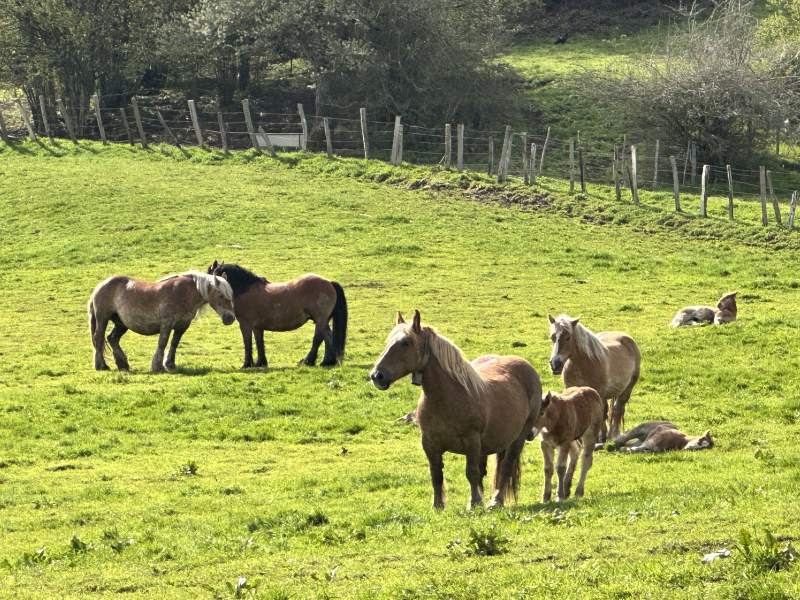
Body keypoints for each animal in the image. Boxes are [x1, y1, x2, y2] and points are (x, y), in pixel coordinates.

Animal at [88, 271, 235, 372]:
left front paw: (170, 365)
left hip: (121, 324)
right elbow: (162, 343)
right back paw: (102, 366)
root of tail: (99, 286)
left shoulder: (182, 326)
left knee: (112, 339)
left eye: (231, 295)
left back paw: (123, 365)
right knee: (98, 338)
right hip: (102, 319)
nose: (230, 318)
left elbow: (174, 344)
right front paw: (158, 366)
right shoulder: (166, 324)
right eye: (221, 295)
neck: (183, 293)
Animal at [207, 261, 347, 368]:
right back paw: (326, 362)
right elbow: (259, 342)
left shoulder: (245, 324)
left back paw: (309, 361)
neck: (245, 289)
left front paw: (247, 364)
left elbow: (248, 343)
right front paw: (260, 362)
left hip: (320, 319)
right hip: (322, 320)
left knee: (317, 339)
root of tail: (329, 283)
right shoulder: (257, 327)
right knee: (328, 337)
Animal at [370, 310, 542, 510]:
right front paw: (438, 506)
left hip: (517, 439)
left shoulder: (472, 441)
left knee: (505, 467)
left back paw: (495, 501)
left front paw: (474, 503)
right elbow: (436, 474)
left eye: (406, 342)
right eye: (388, 341)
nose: (377, 376)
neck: (447, 399)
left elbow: (471, 472)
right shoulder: (429, 443)